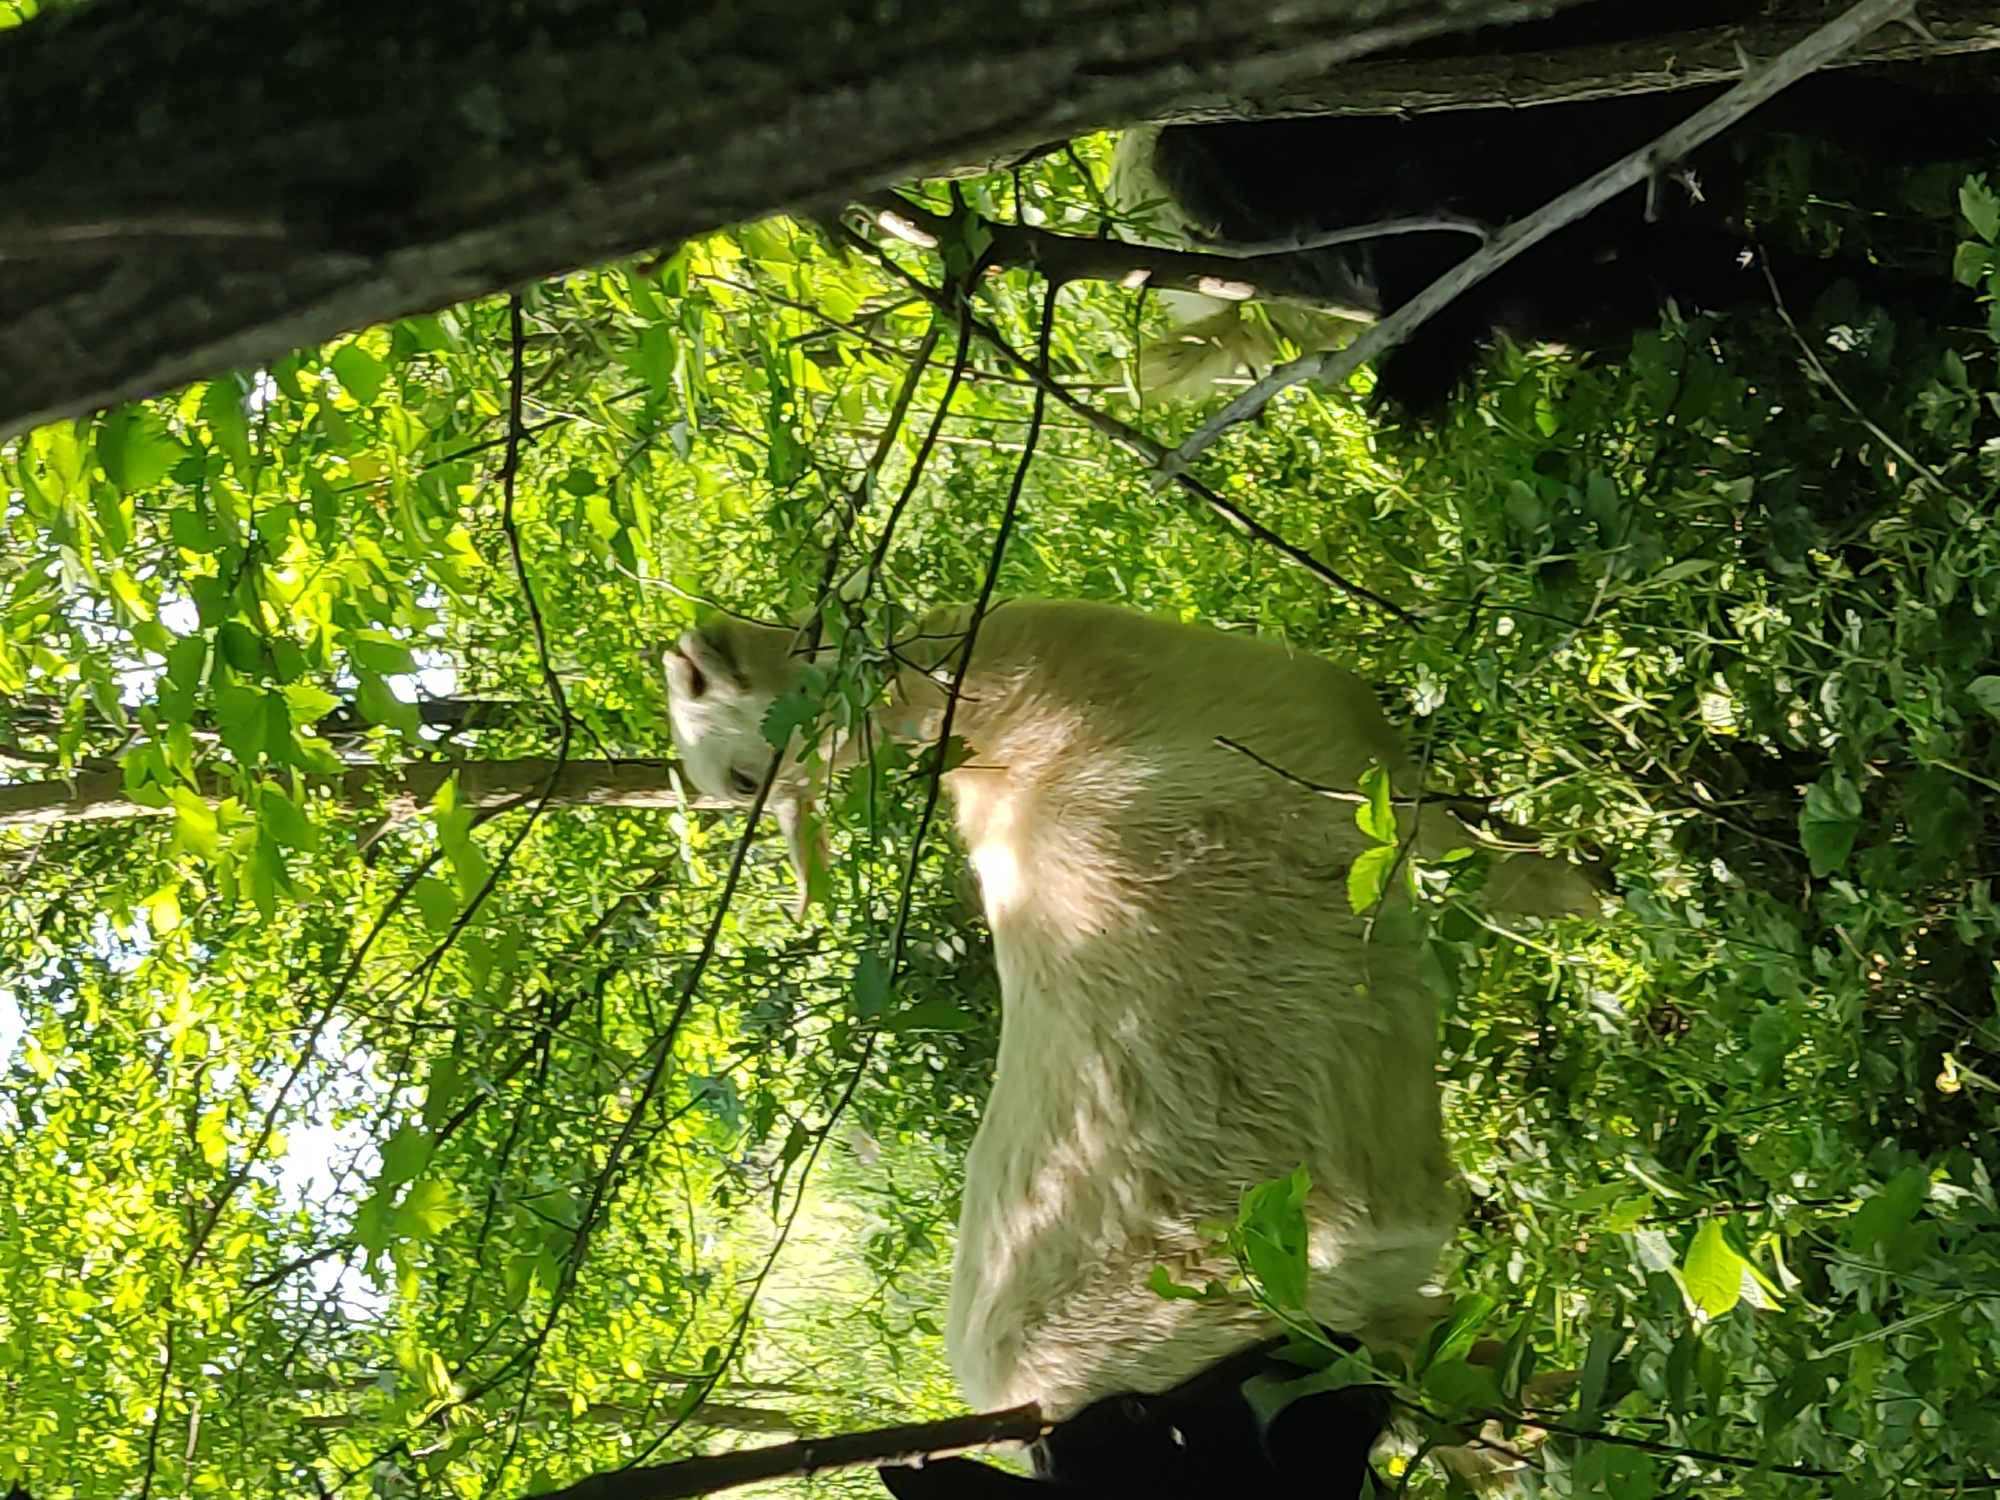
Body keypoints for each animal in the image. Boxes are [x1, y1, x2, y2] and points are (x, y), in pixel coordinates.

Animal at [666, 600, 1591, 1491]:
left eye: (741, 780)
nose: (686, 653)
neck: (1010, 728)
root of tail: (1031, 1416)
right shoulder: (1372, 802)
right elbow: (1559, 887)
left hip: (1381, 1340)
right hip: (1289, 1364)